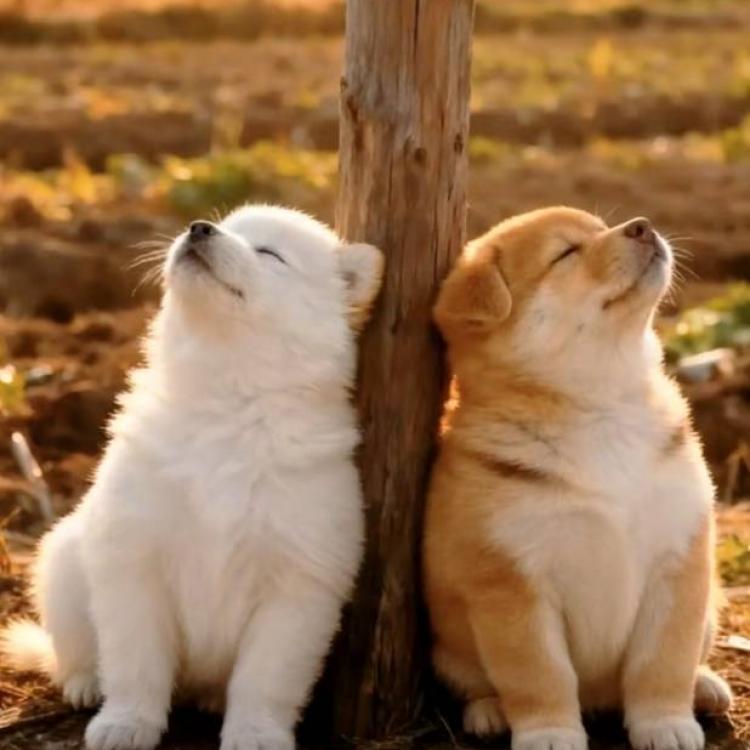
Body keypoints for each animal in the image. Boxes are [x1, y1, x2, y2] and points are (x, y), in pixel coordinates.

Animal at [1, 205, 383, 750]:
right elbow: (135, 660)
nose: (199, 228)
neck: (226, 396)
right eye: (227, 226)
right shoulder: (132, 557)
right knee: (69, 648)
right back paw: (85, 683)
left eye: (270, 253)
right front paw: (127, 723)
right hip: (64, 560)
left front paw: (255, 734)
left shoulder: (297, 586)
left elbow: (266, 677)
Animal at [423, 207, 730, 750]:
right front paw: (549, 733)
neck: (603, 404)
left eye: (600, 229)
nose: (642, 225)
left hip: (711, 609)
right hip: (448, 645)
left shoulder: (678, 560)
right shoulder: (511, 581)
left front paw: (666, 723)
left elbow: (663, 662)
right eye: (565, 253)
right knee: (476, 684)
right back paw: (489, 712)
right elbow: (540, 674)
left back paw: (706, 685)